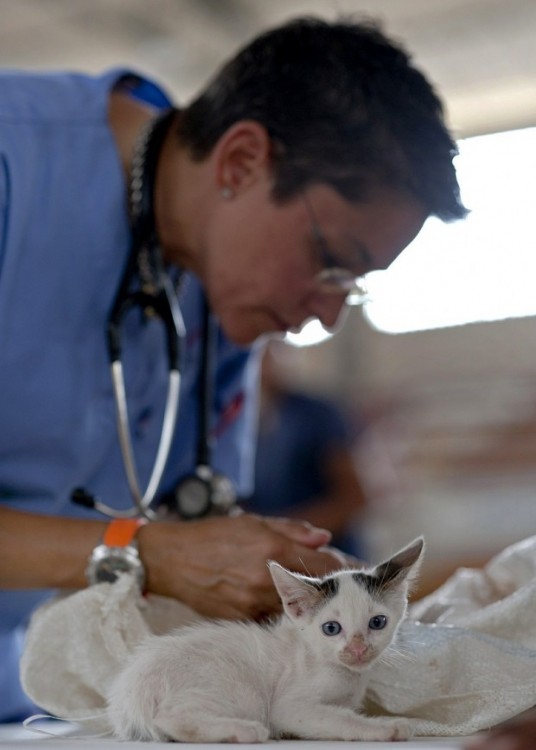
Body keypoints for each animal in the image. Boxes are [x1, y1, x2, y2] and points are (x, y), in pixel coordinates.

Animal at [108, 536, 422, 744]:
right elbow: (339, 719)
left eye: (377, 623)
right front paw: (387, 727)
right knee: (170, 718)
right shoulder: (290, 707)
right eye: (331, 628)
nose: (357, 649)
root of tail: (131, 693)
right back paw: (244, 731)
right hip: (240, 691)